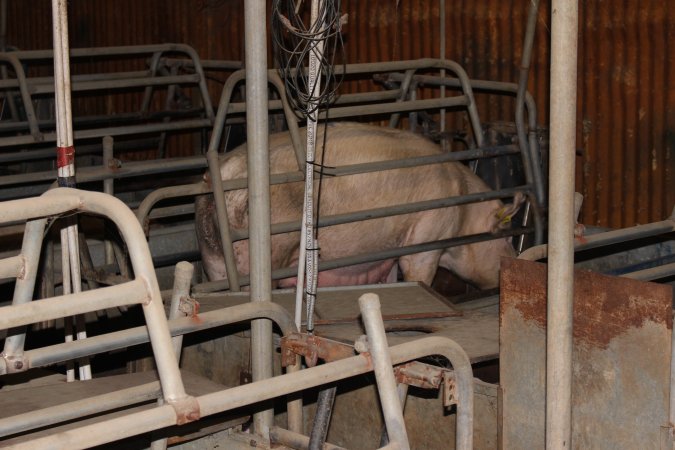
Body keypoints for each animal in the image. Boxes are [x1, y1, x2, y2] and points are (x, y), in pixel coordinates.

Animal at [195, 121, 524, 290]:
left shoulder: (387, 251)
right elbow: (417, 274)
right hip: (264, 250)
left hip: (212, 253)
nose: (513, 262)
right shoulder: (428, 235)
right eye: (508, 239)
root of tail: (227, 173)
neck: (465, 213)